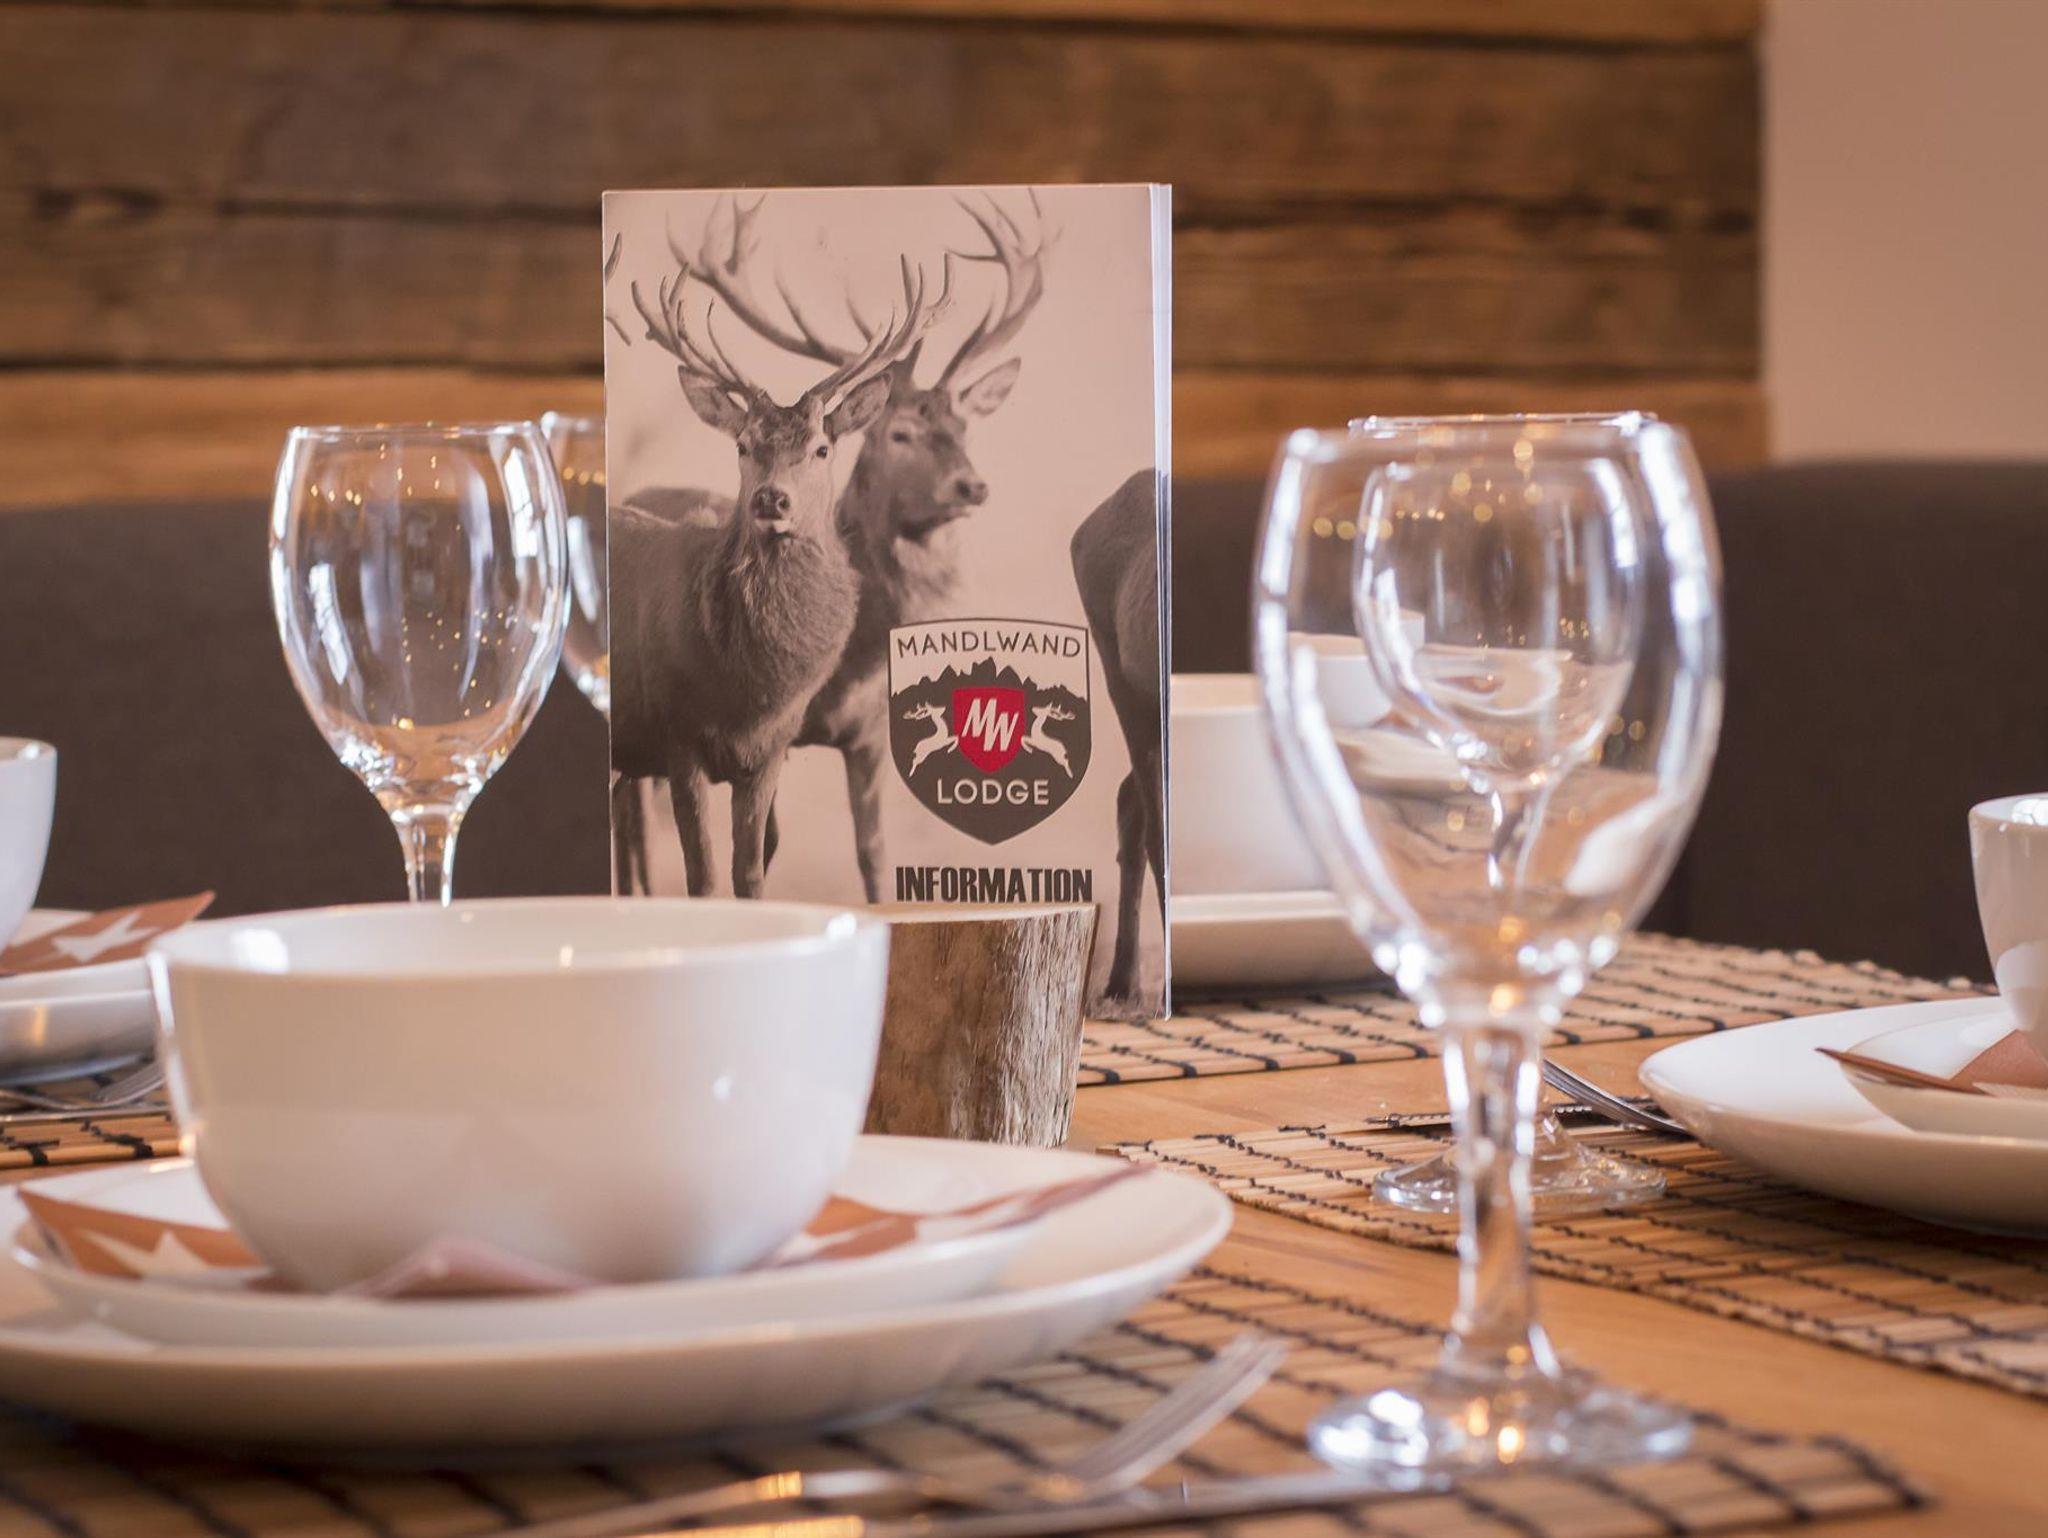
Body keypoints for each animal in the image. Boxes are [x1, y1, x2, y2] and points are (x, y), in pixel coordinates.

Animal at [608, 245, 935, 898]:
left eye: (821, 448)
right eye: (743, 445)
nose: (771, 499)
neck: (749, 689)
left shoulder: (769, 751)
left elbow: (751, 875)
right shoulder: (677, 735)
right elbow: (705, 880)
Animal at [683, 192, 1050, 900]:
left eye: (965, 427)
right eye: (899, 432)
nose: (973, 484)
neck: (851, 663)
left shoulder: (873, 733)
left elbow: (875, 854)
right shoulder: (769, 735)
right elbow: (762, 851)